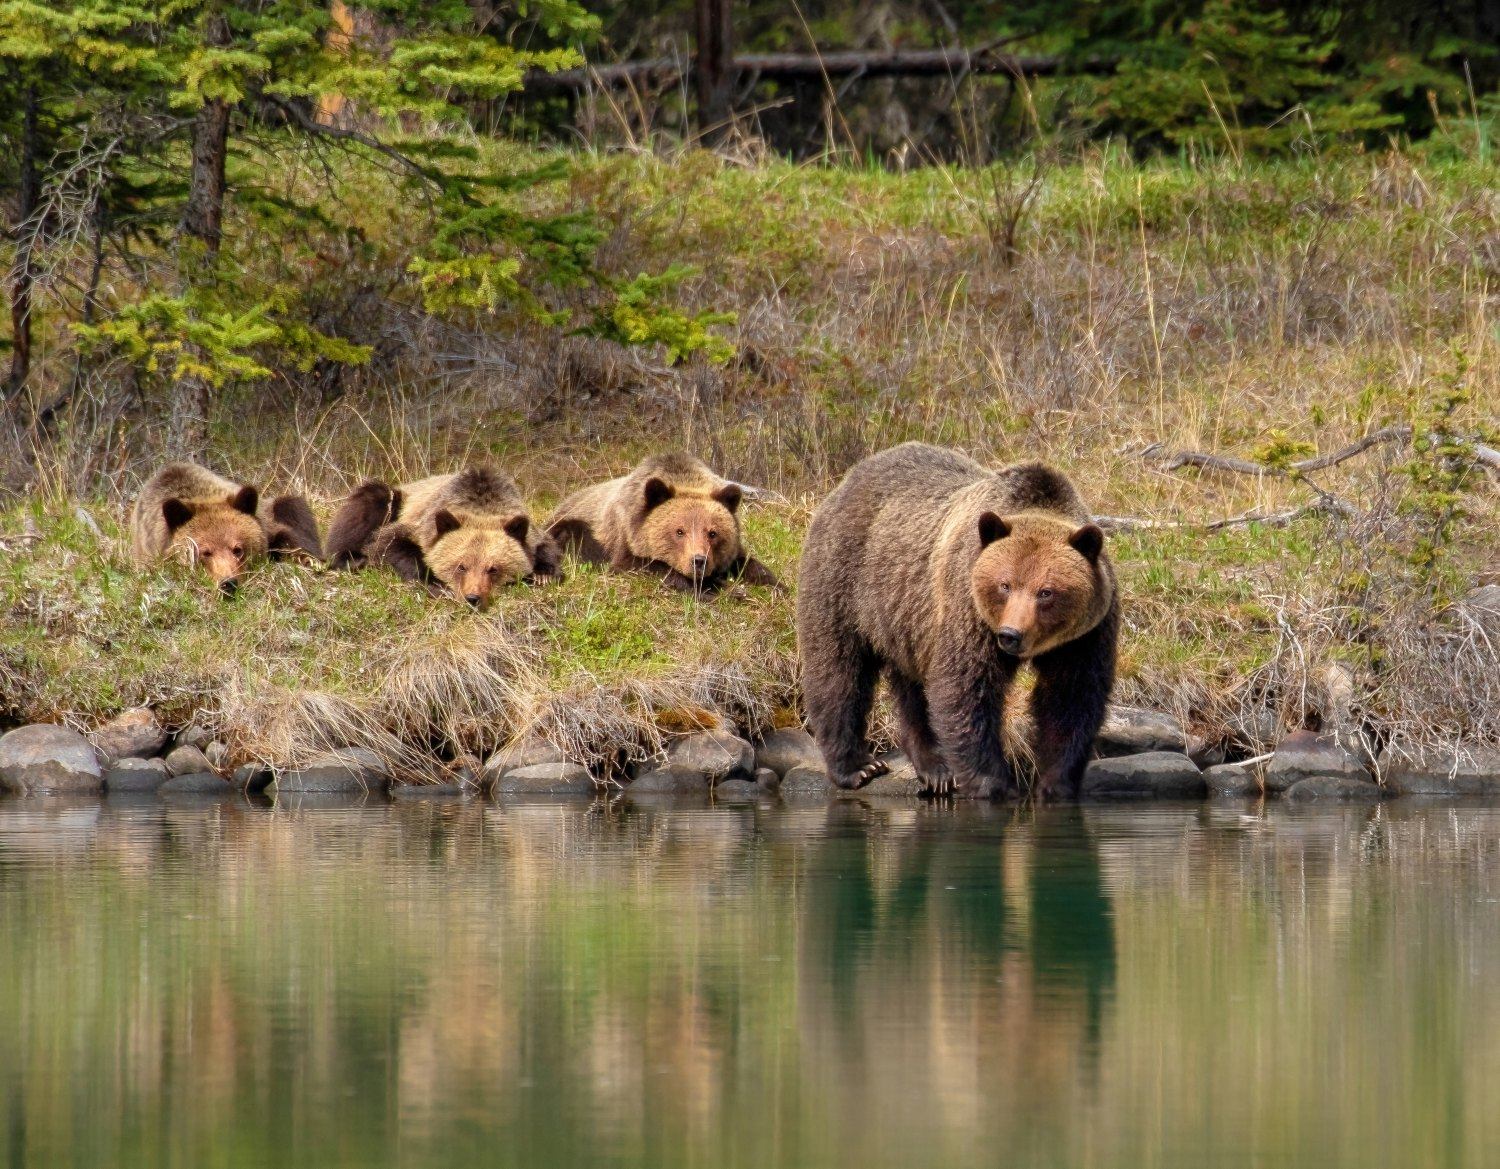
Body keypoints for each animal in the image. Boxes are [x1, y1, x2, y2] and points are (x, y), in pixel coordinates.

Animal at [323, 464, 561, 608]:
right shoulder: (421, 524)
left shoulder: (527, 529)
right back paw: (353, 559)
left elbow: (547, 546)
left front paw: (543, 574)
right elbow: (389, 542)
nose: (473, 598)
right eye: (461, 566)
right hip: (397, 499)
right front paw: (436, 584)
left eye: (493, 568)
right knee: (371, 500)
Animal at [545, 452, 778, 594]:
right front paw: (724, 589)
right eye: (679, 531)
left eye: (713, 533)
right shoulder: (625, 539)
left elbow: (750, 565)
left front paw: (774, 586)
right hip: (572, 526)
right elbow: (646, 566)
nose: (699, 561)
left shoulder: (732, 553)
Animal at [796, 442, 1117, 800]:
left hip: (906, 619)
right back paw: (858, 767)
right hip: (842, 579)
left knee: (912, 690)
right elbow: (965, 688)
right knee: (838, 670)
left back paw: (934, 769)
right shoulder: (969, 610)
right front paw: (993, 784)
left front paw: (1055, 784)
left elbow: (1070, 698)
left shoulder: (1084, 636)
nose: (1011, 635)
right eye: (1005, 585)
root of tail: (848, 479)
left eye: (1046, 592)